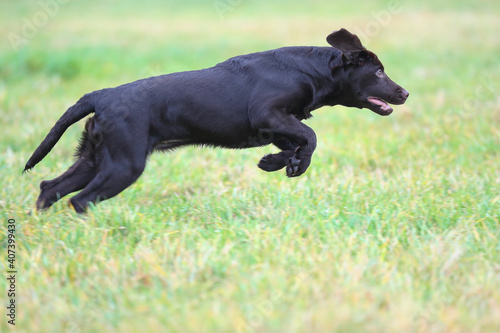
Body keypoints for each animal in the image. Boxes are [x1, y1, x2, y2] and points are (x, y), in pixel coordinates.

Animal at [23, 29, 408, 214]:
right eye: (378, 72)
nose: (404, 93)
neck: (310, 69)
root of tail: (101, 96)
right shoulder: (268, 113)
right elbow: (311, 136)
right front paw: (293, 165)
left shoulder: (273, 125)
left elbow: (296, 141)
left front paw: (275, 162)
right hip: (123, 165)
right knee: (80, 200)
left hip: (94, 158)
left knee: (50, 188)